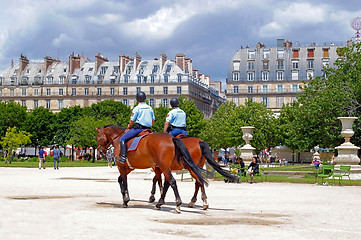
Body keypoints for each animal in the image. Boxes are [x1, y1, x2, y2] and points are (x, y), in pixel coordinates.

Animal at [96, 125, 236, 210]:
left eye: (98, 138)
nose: (100, 152)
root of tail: (199, 141)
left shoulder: (130, 167)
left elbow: (129, 181)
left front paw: (128, 199)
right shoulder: (138, 168)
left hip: (188, 168)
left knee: (195, 181)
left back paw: (188, 203)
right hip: (192, 167)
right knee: (199, 181)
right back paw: (199, 202)